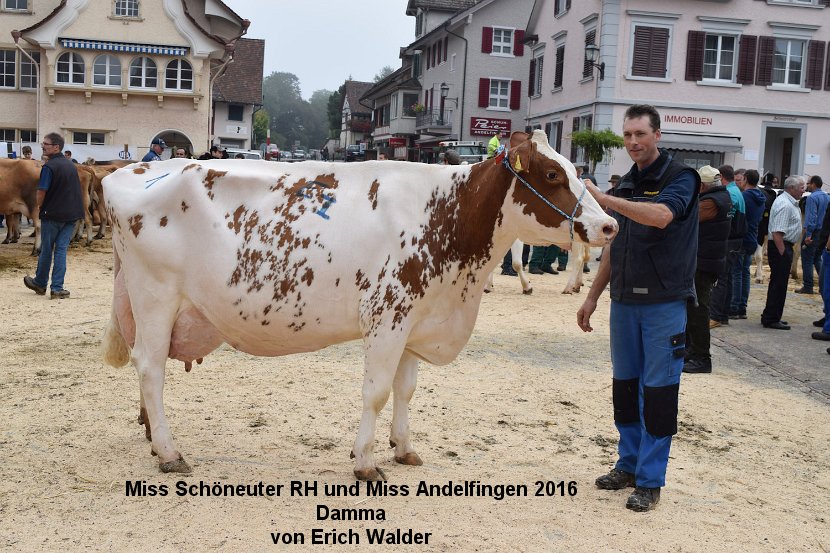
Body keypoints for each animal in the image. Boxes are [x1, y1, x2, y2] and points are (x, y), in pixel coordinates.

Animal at [102, 129, 616, 478]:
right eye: (552, 174)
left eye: (576, 170)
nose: (609, 225)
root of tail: (129, 170)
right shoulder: (389, 316)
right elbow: (377, 392)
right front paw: (365, 462)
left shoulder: (417, 320)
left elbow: (406, 391)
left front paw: (403, 447)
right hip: (156, 295)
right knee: (150, 367)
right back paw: (170, 453)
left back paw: (152, 438)